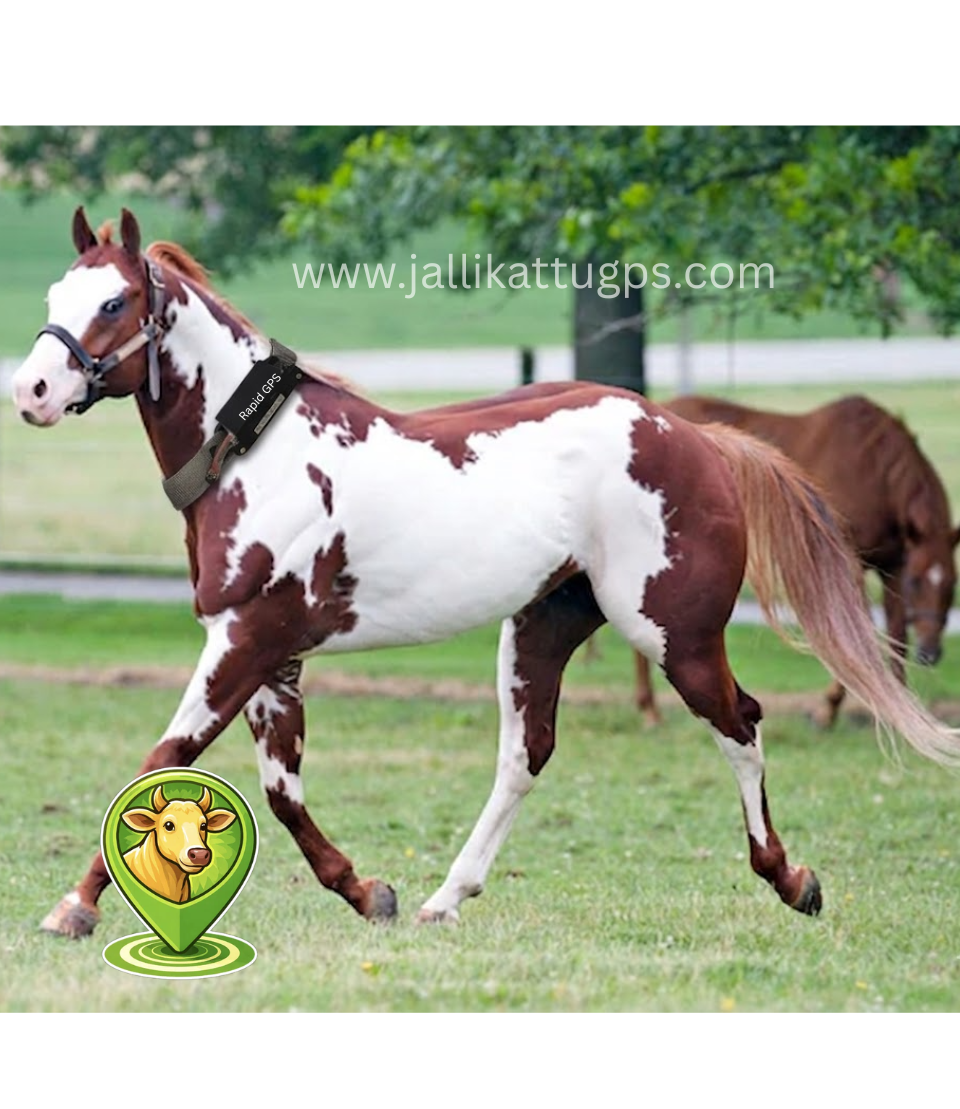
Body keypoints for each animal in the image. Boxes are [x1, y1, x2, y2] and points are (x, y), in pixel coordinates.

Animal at [633, 395, 960, 728]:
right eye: (916, 582)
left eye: (952, 582)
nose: (930, 653)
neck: (875, 471)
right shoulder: (849, 566)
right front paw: (827, 711)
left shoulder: (893, 567)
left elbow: (894, 635)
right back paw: (650, 710)